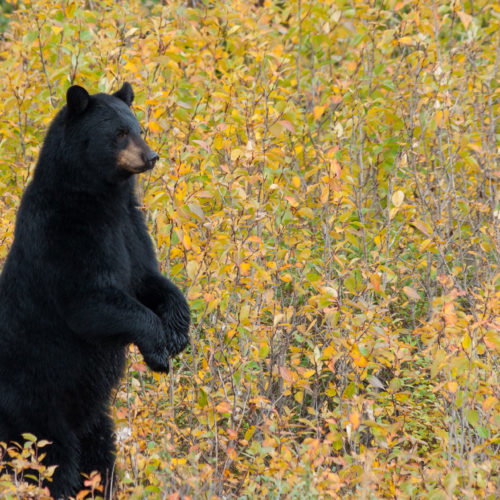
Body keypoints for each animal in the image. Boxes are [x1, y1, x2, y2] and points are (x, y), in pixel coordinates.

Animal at [0, 84, 190, 498]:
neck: (100, 198)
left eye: (137, 127)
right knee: (51, 462)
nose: (151, 156)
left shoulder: (130, 226)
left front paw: (178, 332)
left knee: (100, 454)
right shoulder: (66, 231)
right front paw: (158, 349)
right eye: (118, 133)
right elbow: (92, 300)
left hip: (93, 417)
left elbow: (148, 279)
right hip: (36, 410)